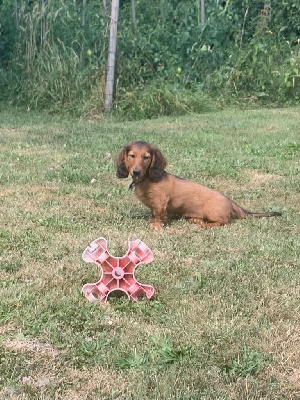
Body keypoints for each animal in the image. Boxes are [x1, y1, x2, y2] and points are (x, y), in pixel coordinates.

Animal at [116, 141, 282, 228]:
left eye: (146, 157)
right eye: (132, 156)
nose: (136, 171)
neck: (146, 179)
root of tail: (231, 202)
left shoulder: (160, 201)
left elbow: (158, 213)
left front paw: (157, 224)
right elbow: (153, 213)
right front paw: (153, 221)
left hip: (212, 211)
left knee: (225, 222)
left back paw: (206, 225)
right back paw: (196, 220)